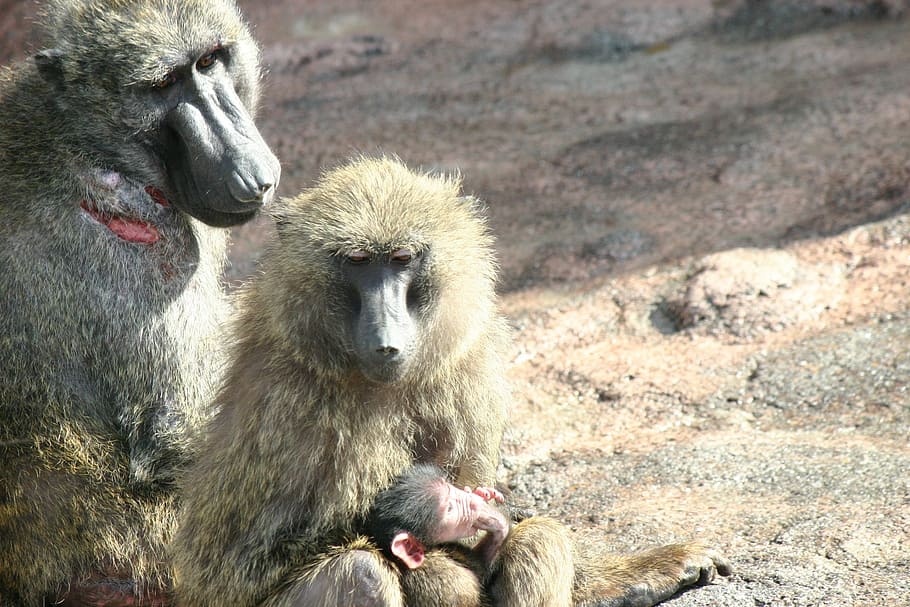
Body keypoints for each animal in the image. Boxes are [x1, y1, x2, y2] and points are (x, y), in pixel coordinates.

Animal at [0, 0, 280, 605]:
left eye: (209, 61)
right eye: (163, 85)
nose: (250, 170)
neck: (81, 137)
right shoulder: (135, 234)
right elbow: (178, 437)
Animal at [171, 156, 730, 607]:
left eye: (401, 260)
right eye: (357, 261)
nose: (386, 338)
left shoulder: (468, 373)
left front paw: (636, 574)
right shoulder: (290, 406)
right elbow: (238, 562)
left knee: (540, 539)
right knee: (360, 571)